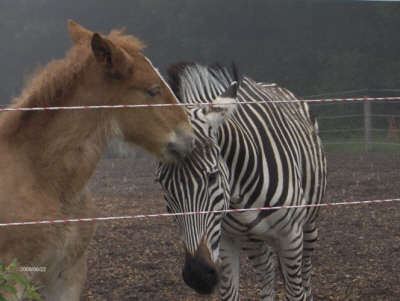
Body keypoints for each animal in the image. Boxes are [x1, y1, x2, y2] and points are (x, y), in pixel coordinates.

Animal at [155, 62, 326, 298]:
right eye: (162, 183)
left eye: (212, 176)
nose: (198, 276)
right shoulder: (226, 240)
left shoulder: (290, 236)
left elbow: (295, 293)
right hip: (252, 238)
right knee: (267, 270)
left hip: (308, 225)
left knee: (305, 274)